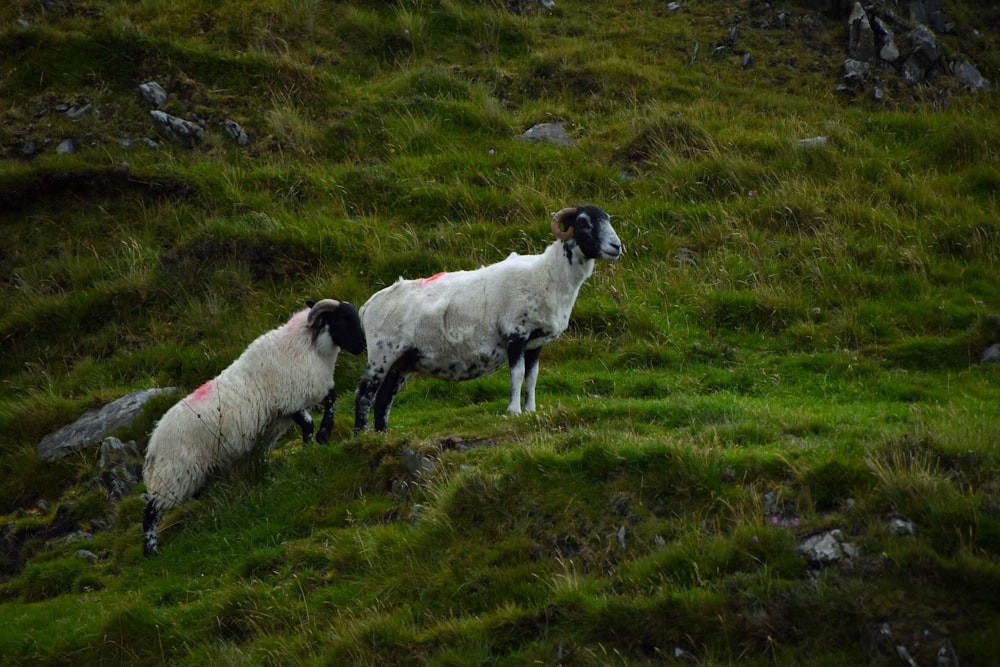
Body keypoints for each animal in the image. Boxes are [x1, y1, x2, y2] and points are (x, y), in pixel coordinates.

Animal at [145, 300, 368, 556]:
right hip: (174, 473)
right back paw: (150, 551)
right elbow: (308, 423)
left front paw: (324, 434)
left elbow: (331, 399)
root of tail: (154, 441)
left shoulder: (304, 393)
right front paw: (309, 448)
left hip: (197, 470)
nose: (362, 346)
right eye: (342, 319)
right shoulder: (289, 399)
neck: (307, 346)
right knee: (151, 510)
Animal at [352, 205, 616, 434]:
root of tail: (367, 306)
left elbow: (532, 376)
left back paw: (382, 435)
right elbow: (517, 374)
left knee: (384, 398)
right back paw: (360, 436)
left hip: (402, 360)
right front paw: (514, 411)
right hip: (381, 352)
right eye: (583, 222)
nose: (617, 246)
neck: (548, 275)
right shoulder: (516, 333)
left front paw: (531, 410)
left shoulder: (536, 341)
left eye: (607, 219)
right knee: (364, 395)